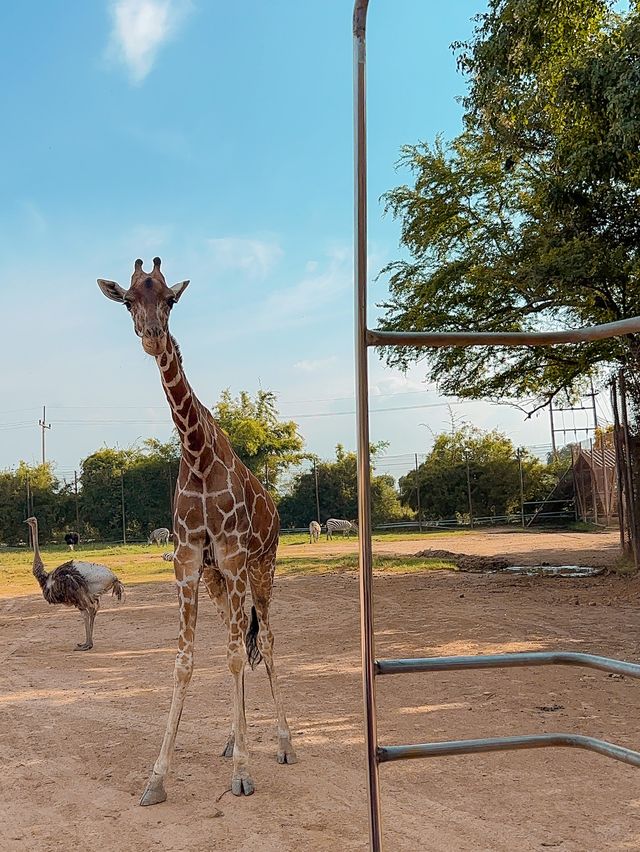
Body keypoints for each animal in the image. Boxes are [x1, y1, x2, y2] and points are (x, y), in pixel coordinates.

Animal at [97, 260, 298, 804]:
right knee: (242, 640)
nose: (152, 336)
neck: (197, 452)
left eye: (170, 298)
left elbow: (234, 656)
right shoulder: (190, 563)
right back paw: (232, 740)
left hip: (261, 567)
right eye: (128, 299)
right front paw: (156, 779)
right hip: (219, 582)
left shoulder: (232, 557)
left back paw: (284, 744)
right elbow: (186, 661)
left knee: (266, 640)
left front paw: (244, 775)